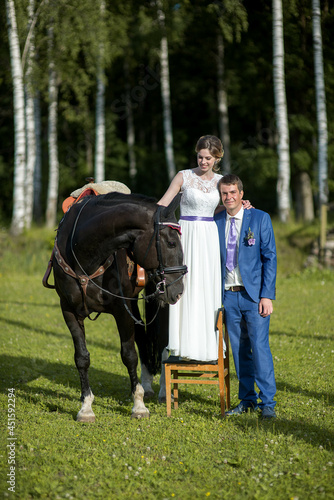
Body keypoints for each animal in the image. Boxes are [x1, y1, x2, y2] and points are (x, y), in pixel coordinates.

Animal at [47, 193, 187, 420]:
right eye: (172, 242)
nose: (179, 290)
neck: (84, 253)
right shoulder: (68, 310)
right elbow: (82, 357)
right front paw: (86, 407)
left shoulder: (122, 310)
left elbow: (129, 355)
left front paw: (138, 405)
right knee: (143, 338)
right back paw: (147, 386)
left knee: (162, 344)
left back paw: (163, 392)